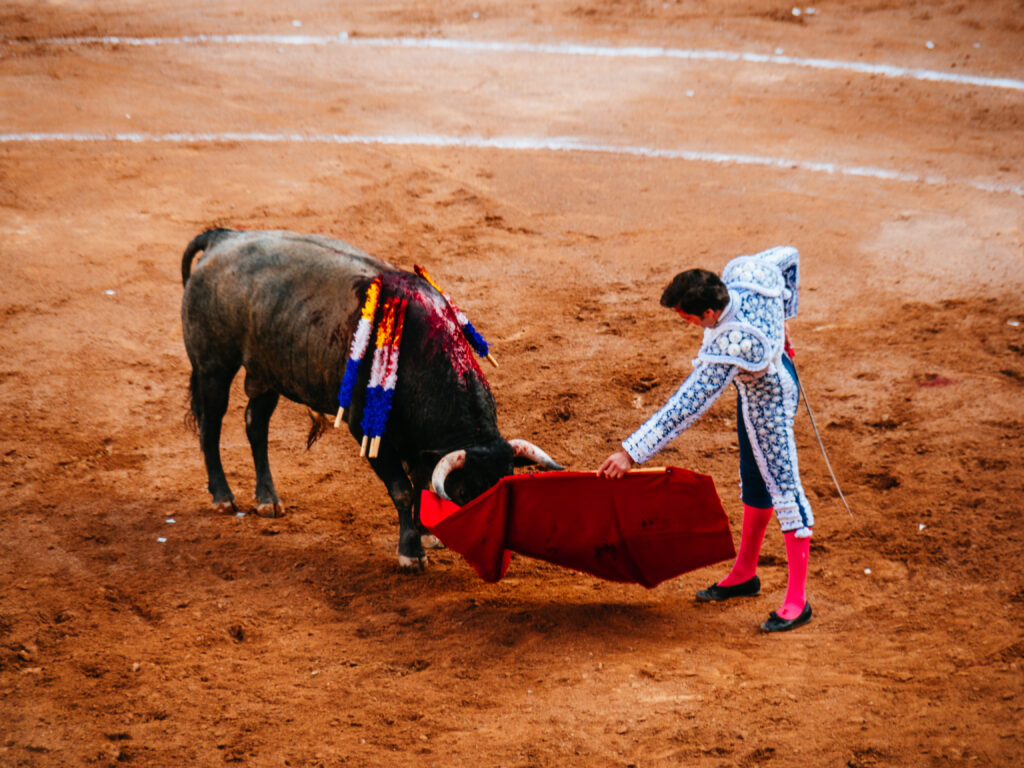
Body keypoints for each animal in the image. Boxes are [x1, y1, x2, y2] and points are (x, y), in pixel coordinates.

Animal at [178, 225, 561, 569]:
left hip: (267, 372)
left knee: (255, 424)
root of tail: (223, 238)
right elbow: (403, 489)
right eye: (467, 494)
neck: (421, 356)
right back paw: (222, 497)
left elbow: (422, 483)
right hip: (213, 366)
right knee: (211, 426)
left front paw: (427, 534)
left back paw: (268, 500)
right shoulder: (368, 432)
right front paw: (410, 553)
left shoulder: (423, 446)